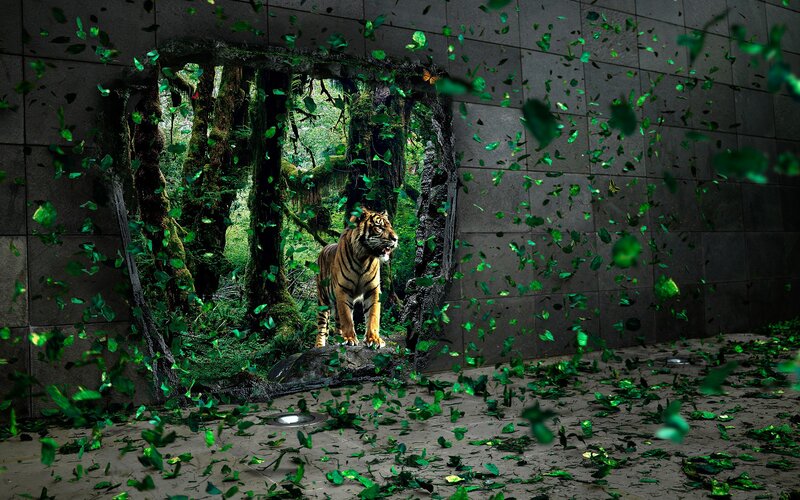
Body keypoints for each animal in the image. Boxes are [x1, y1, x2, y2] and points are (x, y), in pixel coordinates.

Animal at [315, 208, 399, 348]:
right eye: (379, 227)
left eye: (390, 226)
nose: (396, 239)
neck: (363, 257)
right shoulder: (343, 289)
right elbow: (347, 317)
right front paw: (349, 338)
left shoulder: (373, 290)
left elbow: (373, 315)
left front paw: (374, 339)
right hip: (323, 300)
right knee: (322, 327)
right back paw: (320, 346)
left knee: (337, 323)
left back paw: (338, 339)